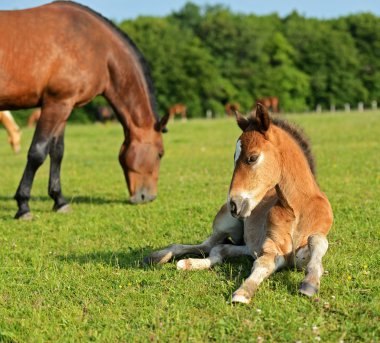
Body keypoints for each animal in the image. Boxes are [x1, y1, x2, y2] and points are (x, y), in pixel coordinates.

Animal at [0, 0, 169, 220]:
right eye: (160, 154)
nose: (147, 197)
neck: (97, 47)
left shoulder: (64, 106)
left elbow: (57, 152)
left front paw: (59, 201)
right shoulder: (55, 104)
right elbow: (37, 153)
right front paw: (23, 206)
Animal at [145, 104, 332, 304]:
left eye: (252, 157)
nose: (234, 204)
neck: (298, 209)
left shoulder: (299, 255)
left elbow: (317, 241)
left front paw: (310, 283)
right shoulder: (270, 246)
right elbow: (263, 264)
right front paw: (243, 292)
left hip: (246, 246)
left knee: (220, 249)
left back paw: (187, 263)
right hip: (226, 225)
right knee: (206, 246)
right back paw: (161, 257)